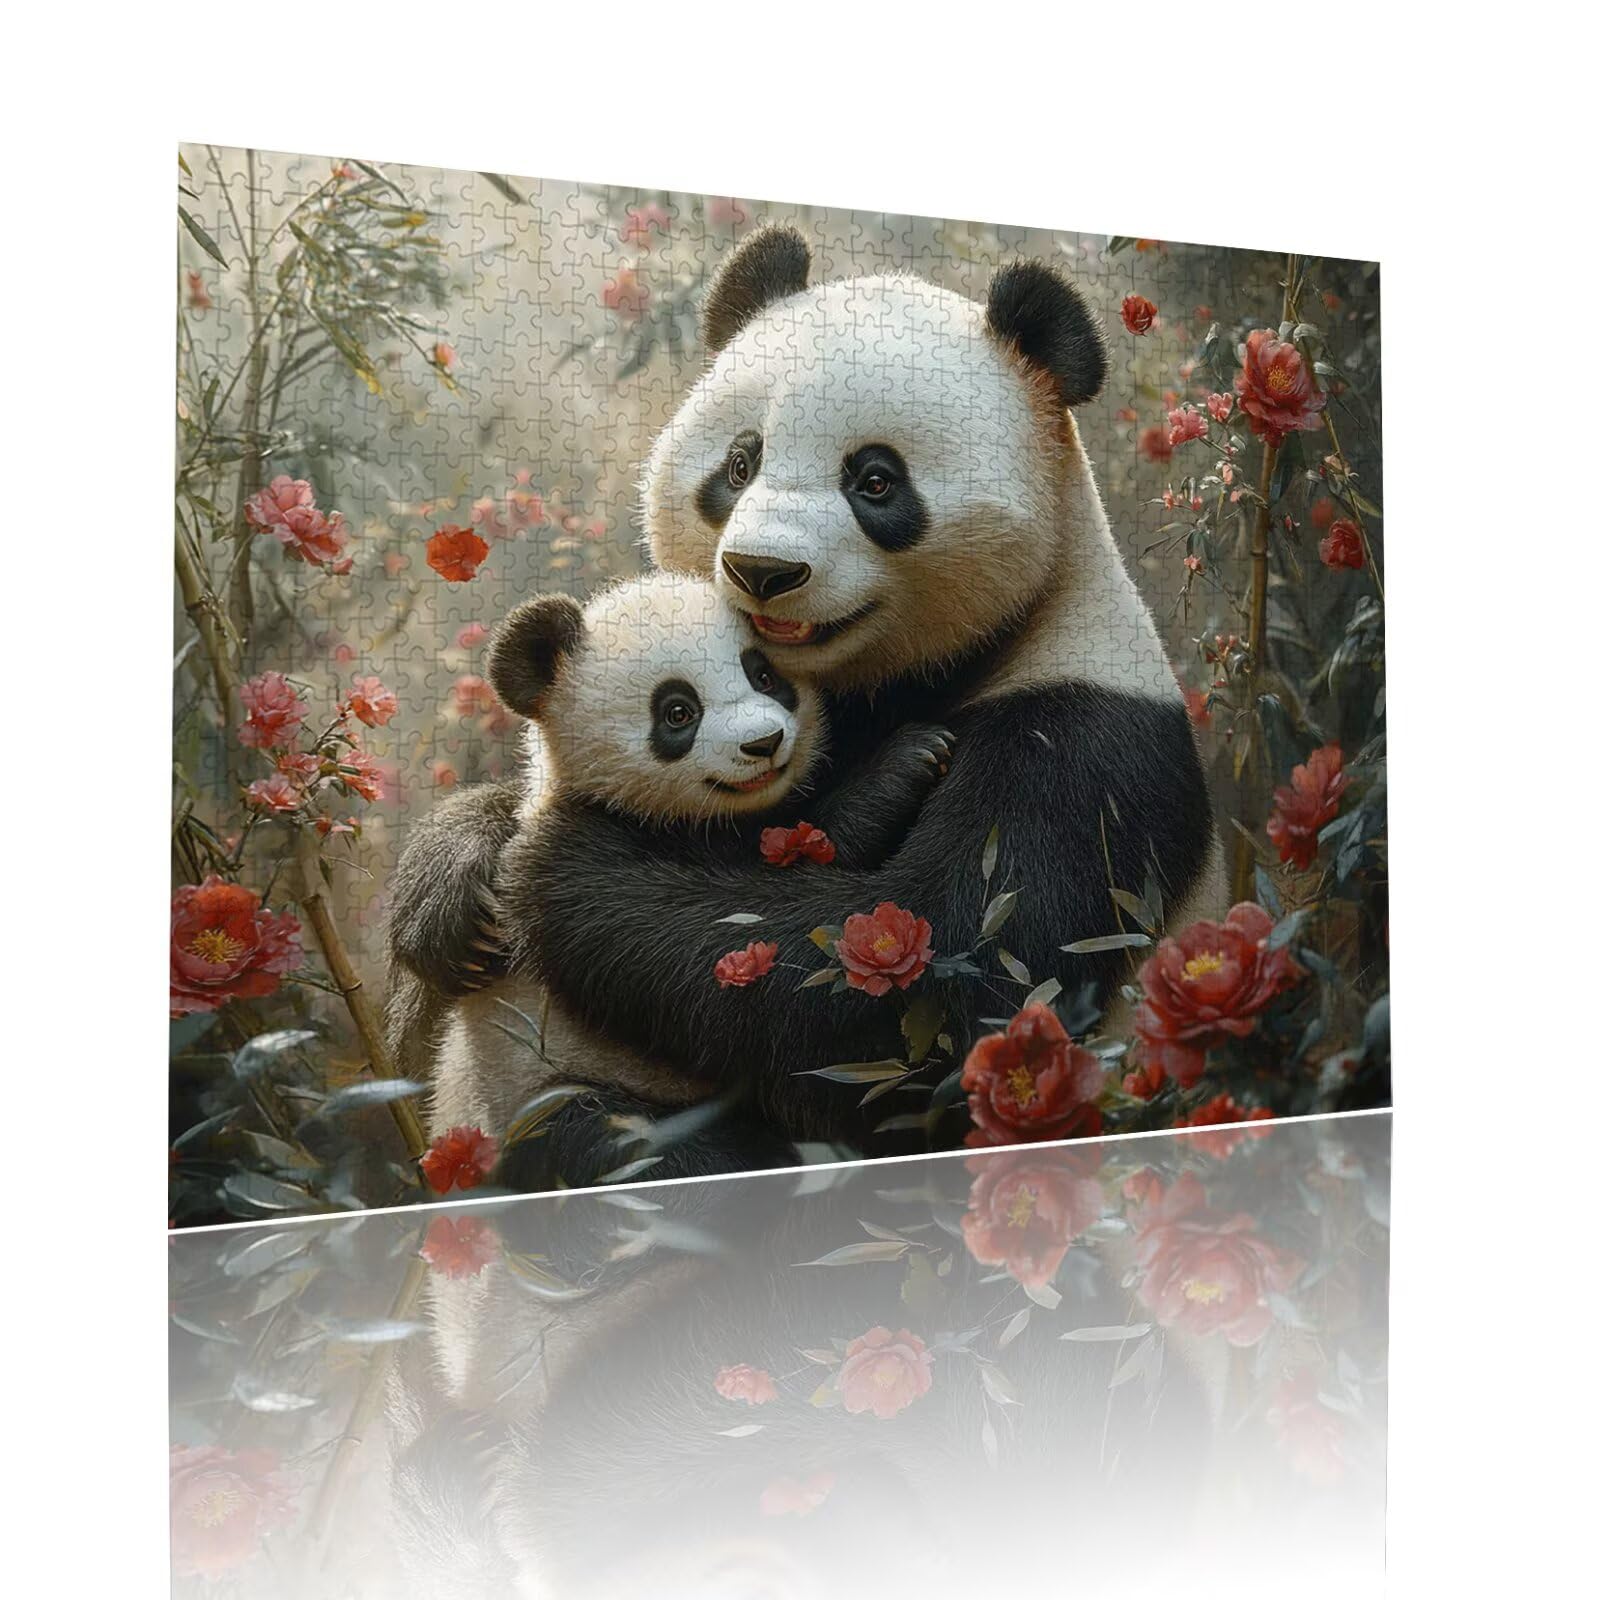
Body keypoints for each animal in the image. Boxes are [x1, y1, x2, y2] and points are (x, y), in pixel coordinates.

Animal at [392, 569, 954, 1187]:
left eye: (764, 675)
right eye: (678, 712)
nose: (764, 743)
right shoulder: (602, 832)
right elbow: (773, 872)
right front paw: (905, 763)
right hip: (546, 1099)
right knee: (622, 1140)